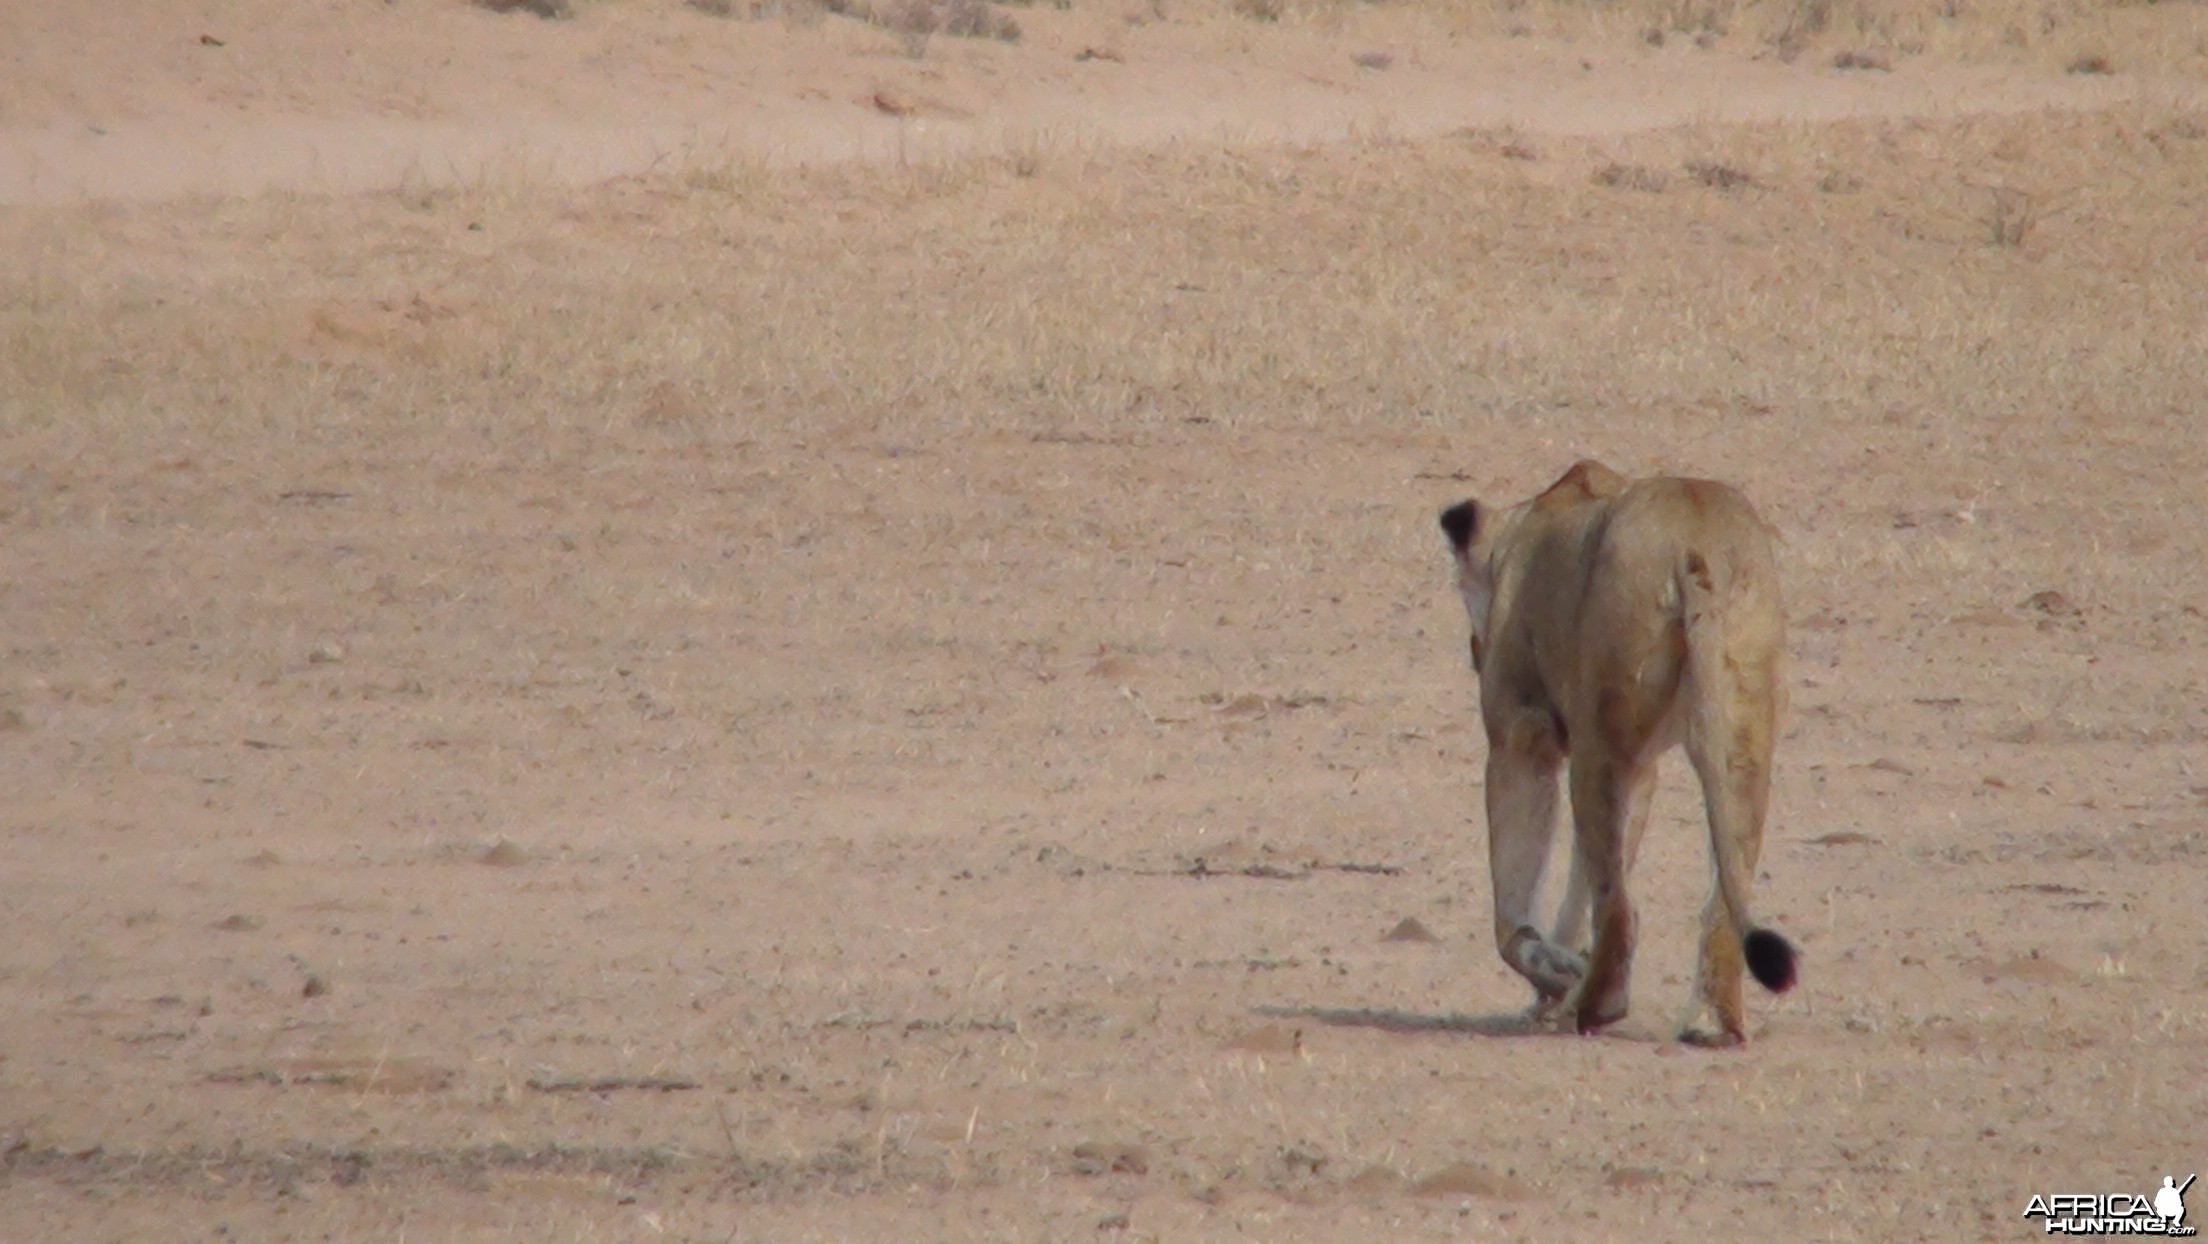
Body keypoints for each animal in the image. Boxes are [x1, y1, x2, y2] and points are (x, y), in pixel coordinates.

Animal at [1439, 457, 1801, 1042]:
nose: (1474, 650)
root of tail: (1691, 543)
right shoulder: (1644, 763)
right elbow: (1575, 887)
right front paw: (1555, 988)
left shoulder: (1521, 734)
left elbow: (1514, 912)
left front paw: (1555, 978)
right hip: (1741, 732)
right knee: (1723, 897)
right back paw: (1711, 1024)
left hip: (1600, 744)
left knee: (1619, 905)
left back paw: (1596, 1005)